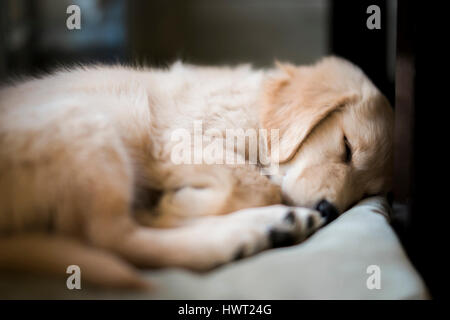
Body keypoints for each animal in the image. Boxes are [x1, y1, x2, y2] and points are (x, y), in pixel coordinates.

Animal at [0, 57, 392, 288]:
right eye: (347, 147)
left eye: (366, 192)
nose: (329, 211)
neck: (256, 112)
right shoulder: (182, 139)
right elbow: (256, 184)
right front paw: (176, 204)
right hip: (93, 125)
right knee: (112, 237)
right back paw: (245, 231)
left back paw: (272, 226)